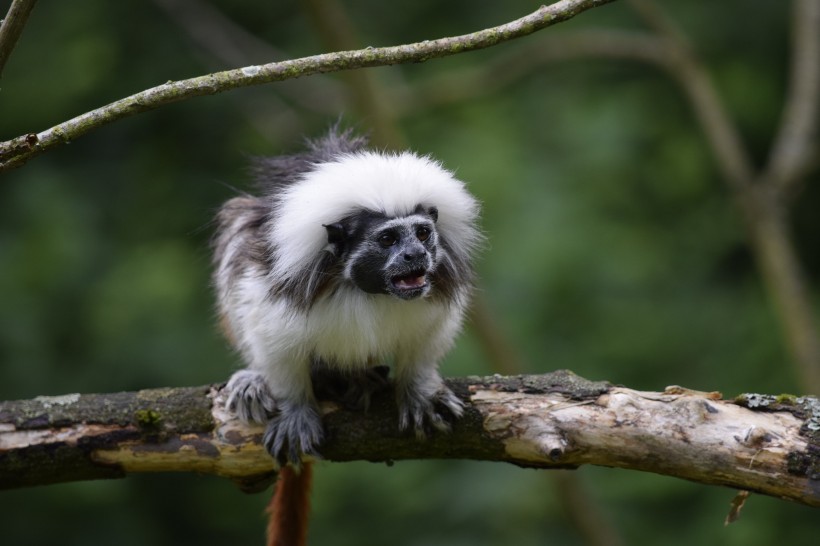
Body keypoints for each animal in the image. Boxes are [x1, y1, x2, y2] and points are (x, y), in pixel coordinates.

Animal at [211, 126, 480, 540]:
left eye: (422, 233)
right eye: (388, 240)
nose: (415, 255)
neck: (369, 290)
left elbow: (426, 341)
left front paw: (418, 389)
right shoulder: (284, 286)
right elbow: (272, 339)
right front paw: (296, 409)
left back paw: (359, 378)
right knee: (237, 231)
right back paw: (256, 381)